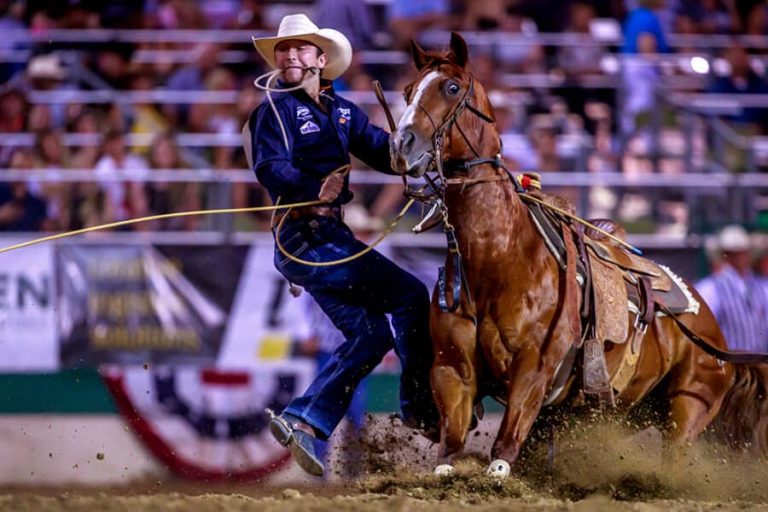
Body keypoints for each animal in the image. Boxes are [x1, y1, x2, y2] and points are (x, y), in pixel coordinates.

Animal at [390, 34, 768, 478]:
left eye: (450, 88)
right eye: (407, 91)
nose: (401, 145)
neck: (497, 263)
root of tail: (712, 329)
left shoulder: (534, 369)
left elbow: (503, 449)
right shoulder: (452, 371)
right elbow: (450, 447)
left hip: (688, 408)